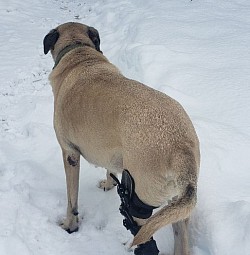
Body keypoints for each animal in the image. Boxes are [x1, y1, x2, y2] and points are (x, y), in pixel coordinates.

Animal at [43, 22, 199, 255]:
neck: (79, 52)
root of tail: (182, 149)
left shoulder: (69, 154)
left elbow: (72, 201)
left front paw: (70, 226)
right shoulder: (110, 150)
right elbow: (110, 168)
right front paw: (109, 184)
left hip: (139, 203)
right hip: (177, 206)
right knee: (182, 239)